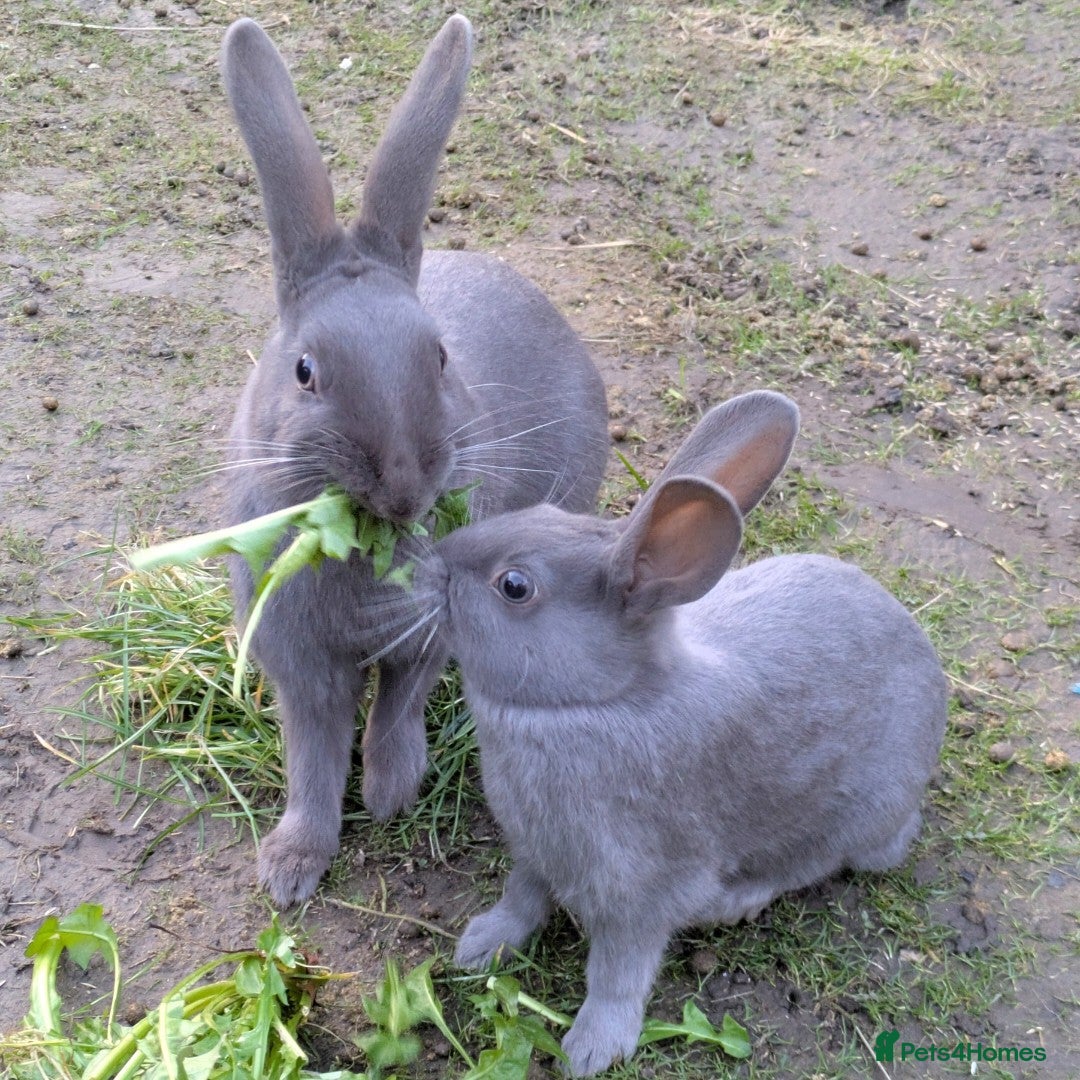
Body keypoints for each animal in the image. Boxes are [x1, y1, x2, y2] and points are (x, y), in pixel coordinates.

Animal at [218, 15, 608, 909]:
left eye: (438, 356)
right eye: (304, 371)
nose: (403, 486)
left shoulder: (426, 637)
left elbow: (398, 705)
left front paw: (392, 791)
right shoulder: (299, 667)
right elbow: (312, 758)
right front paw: (290, 870)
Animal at [416, 390, 948, 1077]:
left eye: (514, 586)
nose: (434, 561)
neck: (597, 701)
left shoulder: (640, 892)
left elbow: (617, 973)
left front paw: (592, 1048)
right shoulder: (536, 850)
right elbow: (521, 898)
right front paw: (481, 946)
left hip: (858, 816)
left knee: (822, 860)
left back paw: (737, 901)